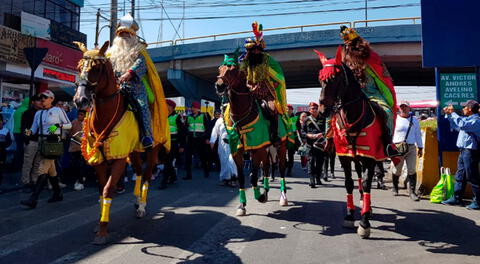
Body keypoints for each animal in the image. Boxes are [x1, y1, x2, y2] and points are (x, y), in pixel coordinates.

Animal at [74, 40, 162, 244]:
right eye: (79, 67)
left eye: (96, 69)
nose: (80, 100)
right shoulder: (99, 160)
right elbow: (101, 190)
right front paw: (99, 224)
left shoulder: (119, 158)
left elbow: (108, 190)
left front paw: (102, 231)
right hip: (134, 152)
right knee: (138, 171)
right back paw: (137, 202)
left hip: (150, 151)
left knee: (146, 175)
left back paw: (142, 206)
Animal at [215, 62, 288, 217]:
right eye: (220, 69)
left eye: (234, 70)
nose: (219, 86)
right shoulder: (237, 151)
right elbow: (243, 177)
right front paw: (242, 205)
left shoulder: (256, 148)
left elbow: (253, 176)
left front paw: (259, 196)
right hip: (266, 149)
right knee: (266, 168)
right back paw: (266, 190)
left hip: (280, 147)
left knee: (282, 168)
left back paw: (283, 196)